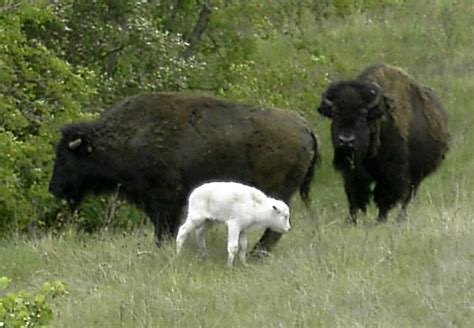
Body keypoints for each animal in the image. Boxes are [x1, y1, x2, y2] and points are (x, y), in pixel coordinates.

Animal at [49, 92, 318, 254]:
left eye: (67, 157)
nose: (54, 188)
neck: (129, 136)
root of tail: (307, 129)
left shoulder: (165, 200)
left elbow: (164, 229)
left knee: (273, 230)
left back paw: (255, 255)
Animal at [316, 63, 450, 223]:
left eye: (363, 114)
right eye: (335, 113)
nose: (346, 141)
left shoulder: (391, 173)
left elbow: (384, 198)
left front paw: (380, 220)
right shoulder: (352, 173)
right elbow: (355, 197)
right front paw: (351, 220)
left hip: (417, 175)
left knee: (406, 198)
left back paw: (399, 219)